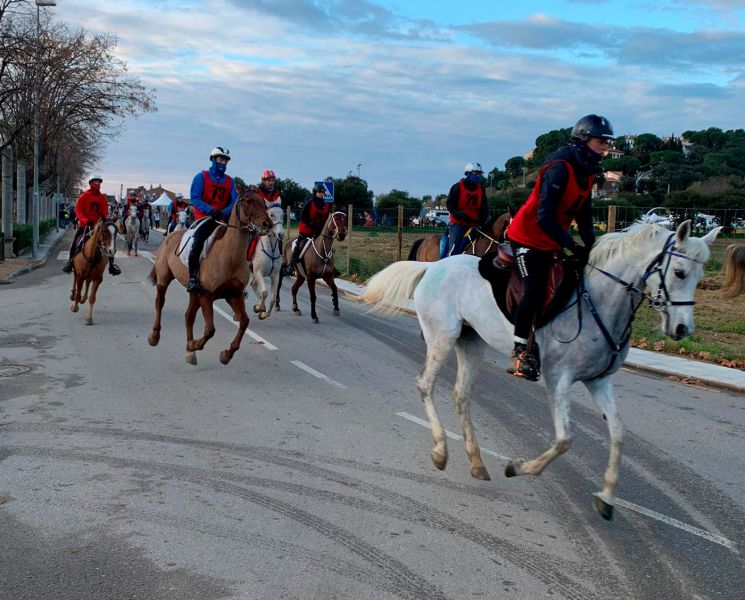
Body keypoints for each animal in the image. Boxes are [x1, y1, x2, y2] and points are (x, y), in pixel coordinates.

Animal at [147, 192, 272, 366]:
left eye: (264, 203)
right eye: (248, 201)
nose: (267, 224)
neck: (229, 256)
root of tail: (169, 236)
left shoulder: (234, 295)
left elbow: (244, 322)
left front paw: (226, 354)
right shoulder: (206, 295)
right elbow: (210, 329)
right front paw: (195, 344)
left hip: (194, 293)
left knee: (189, 316)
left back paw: (190, 353)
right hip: (164, 280)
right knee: (160, 303)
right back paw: (155, 336)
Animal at [360, 221, 720, 520]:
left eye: (699, 278)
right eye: (680, 273)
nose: (683, 329)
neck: (599, 300)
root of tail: (433, 266)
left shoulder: (599, 381)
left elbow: (617, 433)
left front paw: (606, 497)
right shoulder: (559, 377)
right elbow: (564, 439)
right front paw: (518, 467)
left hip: (471, 342)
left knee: (461, 396)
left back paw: (476, 463)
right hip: (442, 337)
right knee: (425, 384)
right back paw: (440, 451)